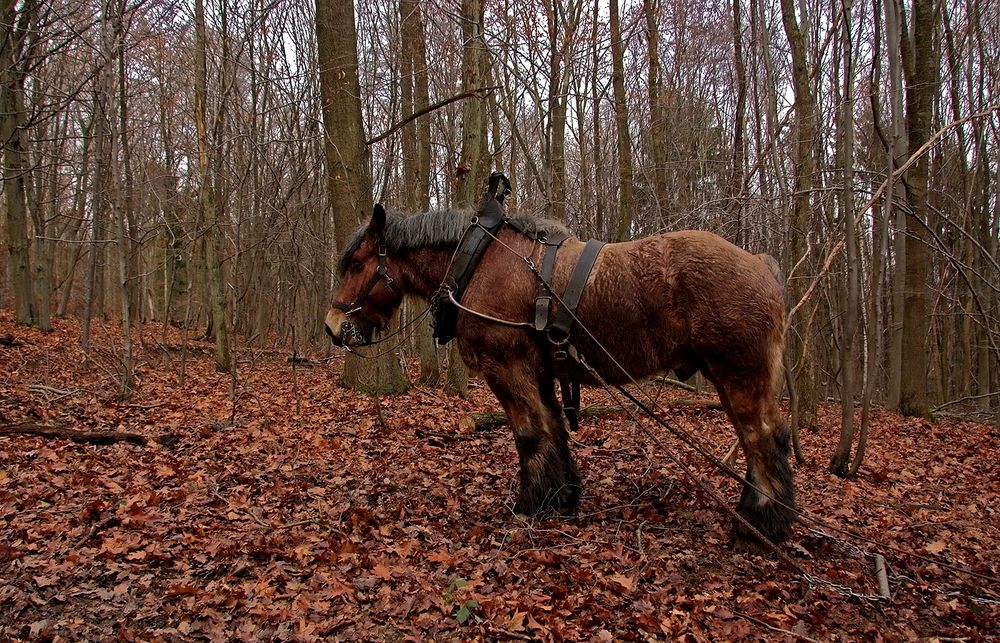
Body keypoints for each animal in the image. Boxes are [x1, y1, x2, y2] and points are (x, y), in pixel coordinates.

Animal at [328, 205, 796, 544]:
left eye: (356, 263)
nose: (334, 328)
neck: (478, 261)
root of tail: (761, 264)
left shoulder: (508, 368)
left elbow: (529, 435)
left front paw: (530, 502)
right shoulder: (540, 371)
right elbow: (552, 427)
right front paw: (562, 496)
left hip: (739, 374)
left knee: (762, 439)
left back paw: (760, 525)